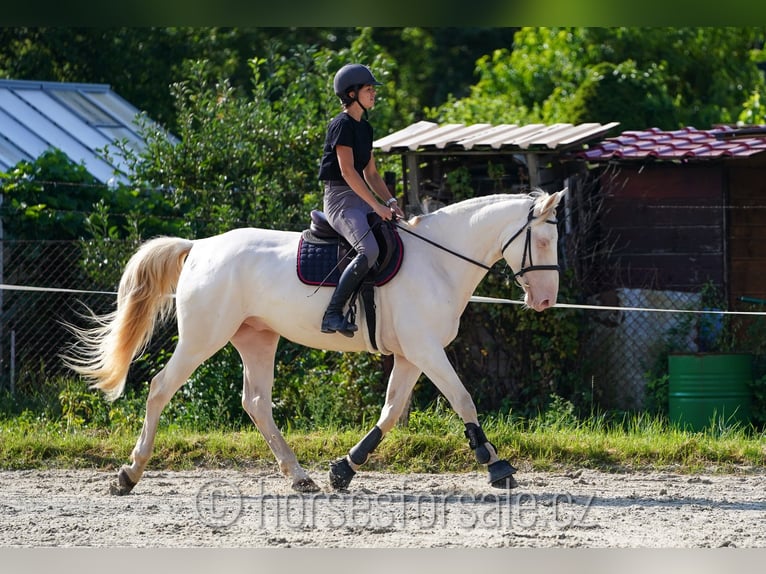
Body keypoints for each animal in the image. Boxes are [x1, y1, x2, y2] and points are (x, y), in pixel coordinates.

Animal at [66, 189, 568, 496]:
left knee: (256, 403)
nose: (545, 300)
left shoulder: (411, 355)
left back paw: (300, 476)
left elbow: (390, 412)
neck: (438, 260)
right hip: (203, 338)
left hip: (257, 338)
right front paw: (496, 466)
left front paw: (344, 468)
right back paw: (129, 474)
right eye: (544, 241)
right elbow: (463, 399)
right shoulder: (426, 350)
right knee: (160, 389)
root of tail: (200, 246)